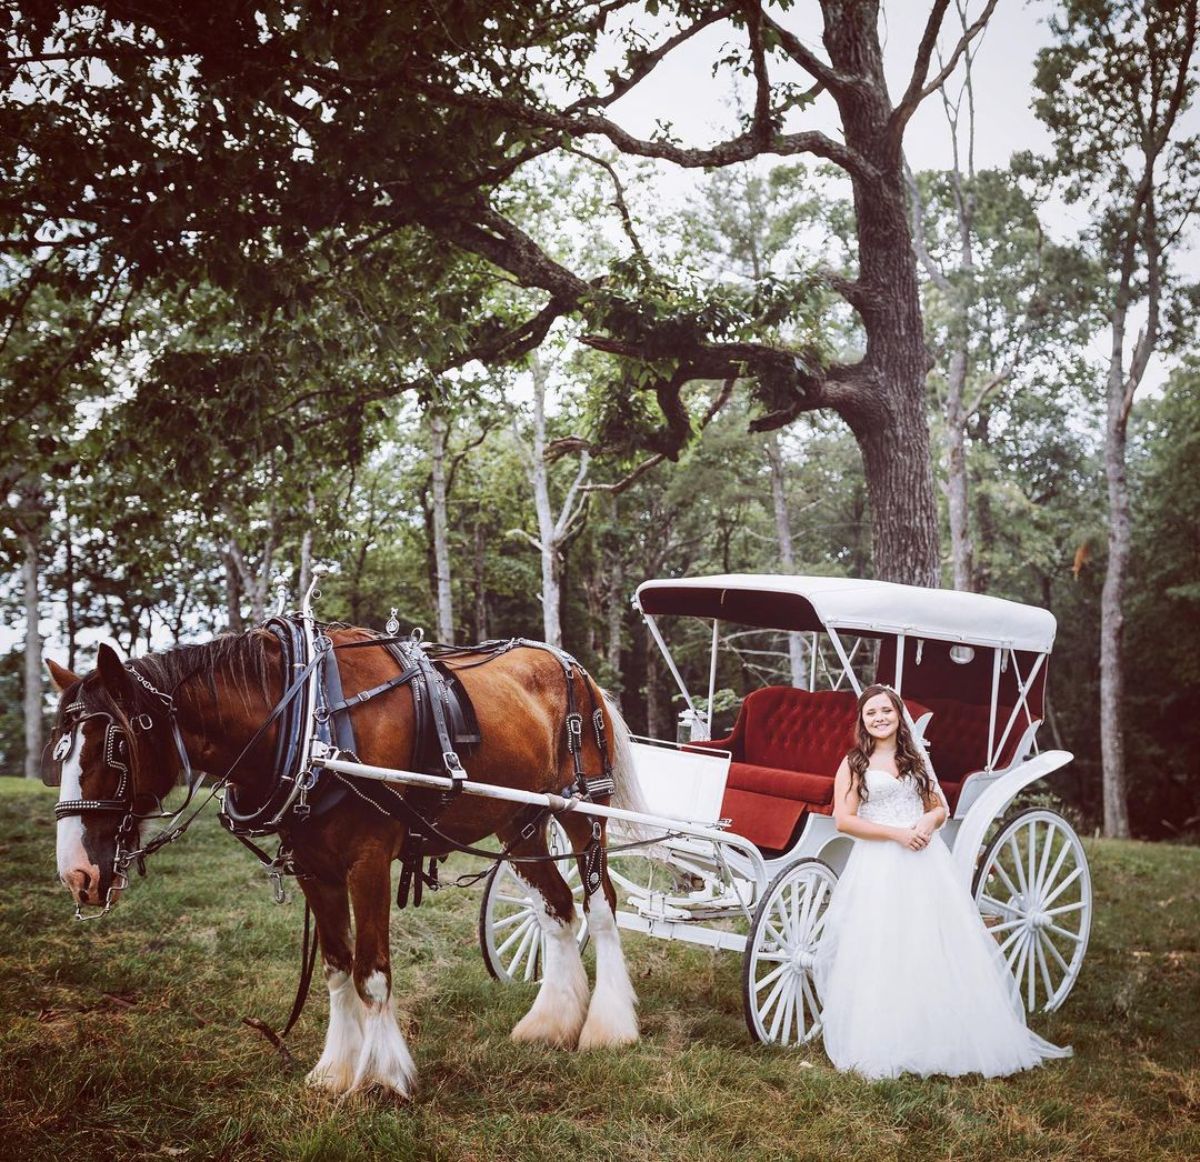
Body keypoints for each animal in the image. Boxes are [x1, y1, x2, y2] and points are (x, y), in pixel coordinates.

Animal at [45, 629, 643, 1094]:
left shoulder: (368, 861)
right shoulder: (315, 869)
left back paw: (609, 1027)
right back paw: (550, 1024)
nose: (78, 872)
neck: (312, 722)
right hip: (518, 821)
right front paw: (334, 1071)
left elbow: (371, 972)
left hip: (584, 810)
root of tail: (576, 669)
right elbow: (335, 968)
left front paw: (382, 1077)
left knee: (601, 908)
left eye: (113, 747)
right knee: (558, 911)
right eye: (59, 750)